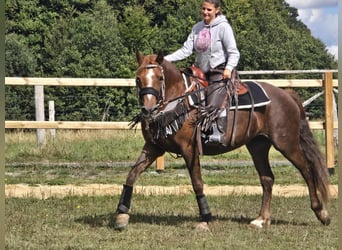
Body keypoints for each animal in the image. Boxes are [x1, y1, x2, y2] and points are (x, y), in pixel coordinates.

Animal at [115, 50, 332, 230]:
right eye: (138, 79)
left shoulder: (189, 149)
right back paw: (262, 219)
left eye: (160, 77)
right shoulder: (153, 147)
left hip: (287, 143)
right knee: (267, 178)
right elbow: (132, 174)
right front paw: (121, 215)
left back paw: (321, 213)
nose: (148, 109)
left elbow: (197, 182)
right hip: (258, 146)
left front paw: (205, 218)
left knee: (307, 170)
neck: (178, 103)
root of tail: (286, 94)